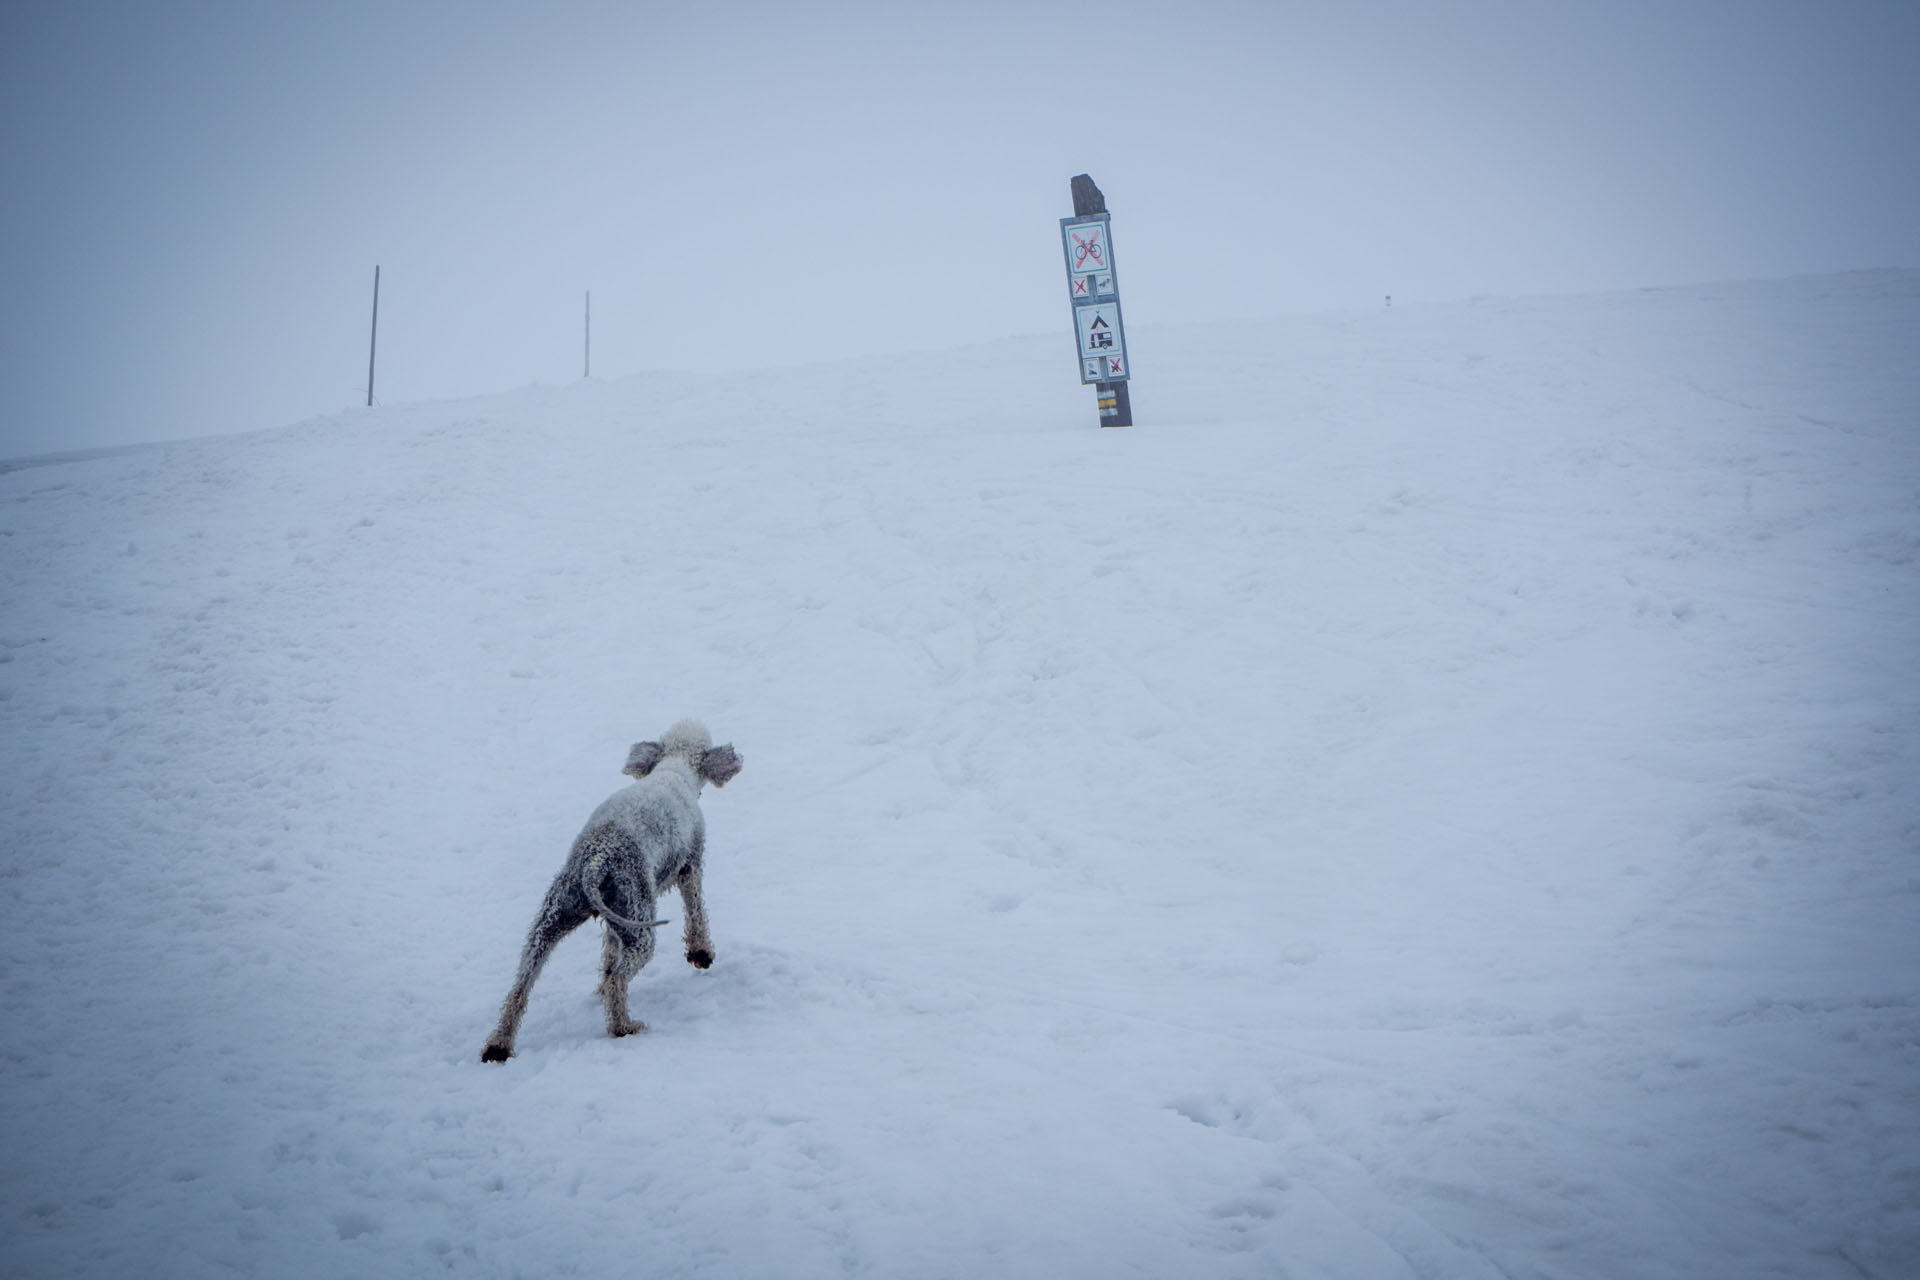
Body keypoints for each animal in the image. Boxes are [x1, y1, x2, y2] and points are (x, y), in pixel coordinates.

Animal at [480, 721, 741, 1059]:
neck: (673, 769)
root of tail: (596, 859)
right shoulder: (690, 866)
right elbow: (696, 911)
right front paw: (701, 954)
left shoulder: (616, 919)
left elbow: (609, 951)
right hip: (638, 919)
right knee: (619, 980)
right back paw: (624, 1027)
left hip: (559, 913)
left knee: (520, 987)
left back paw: (498, 1046)